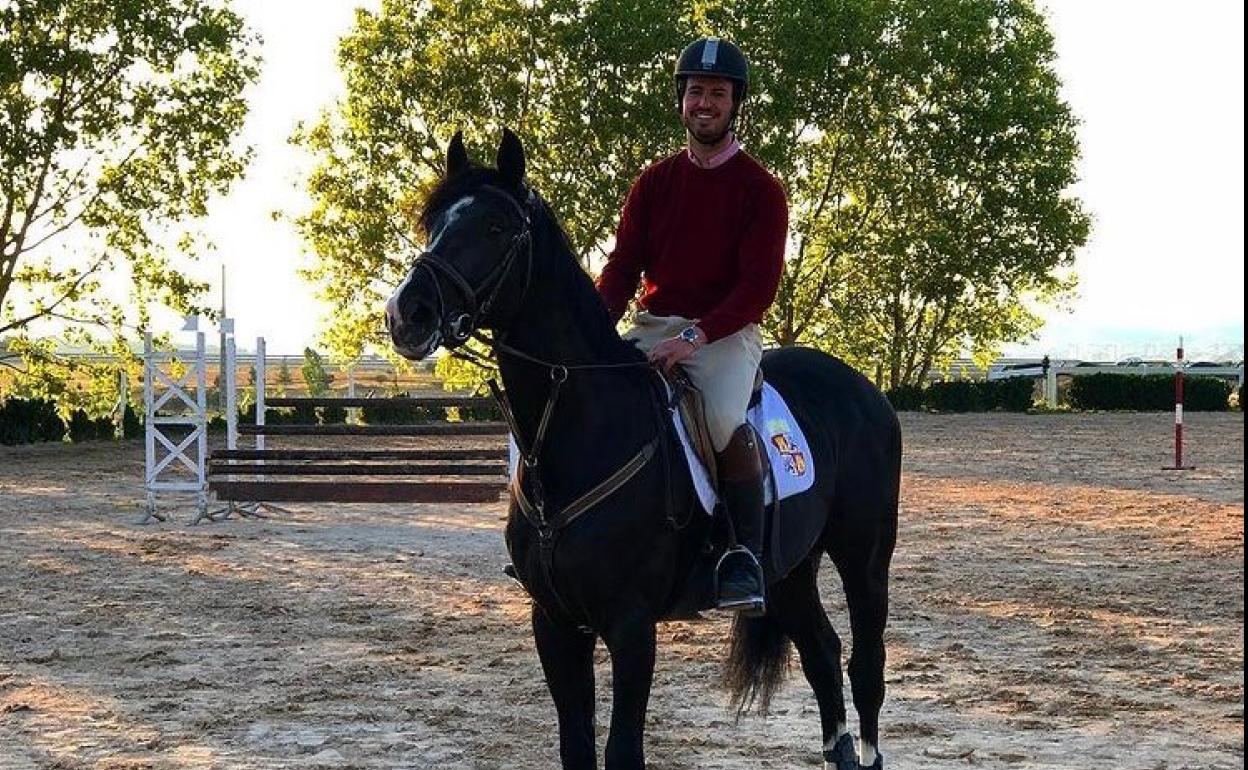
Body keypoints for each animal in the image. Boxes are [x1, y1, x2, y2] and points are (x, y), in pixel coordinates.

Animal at [384, 129, 903, 763]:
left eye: (497, 227)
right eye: (434, 223)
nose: (407, 313)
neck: (580, 433)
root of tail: (865, 391)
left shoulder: (631, 626)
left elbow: (622, 750)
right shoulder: (555, 623)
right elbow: (576, 747)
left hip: (864, 556)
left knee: (866, 667)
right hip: (788, 570)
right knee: (823, 656)